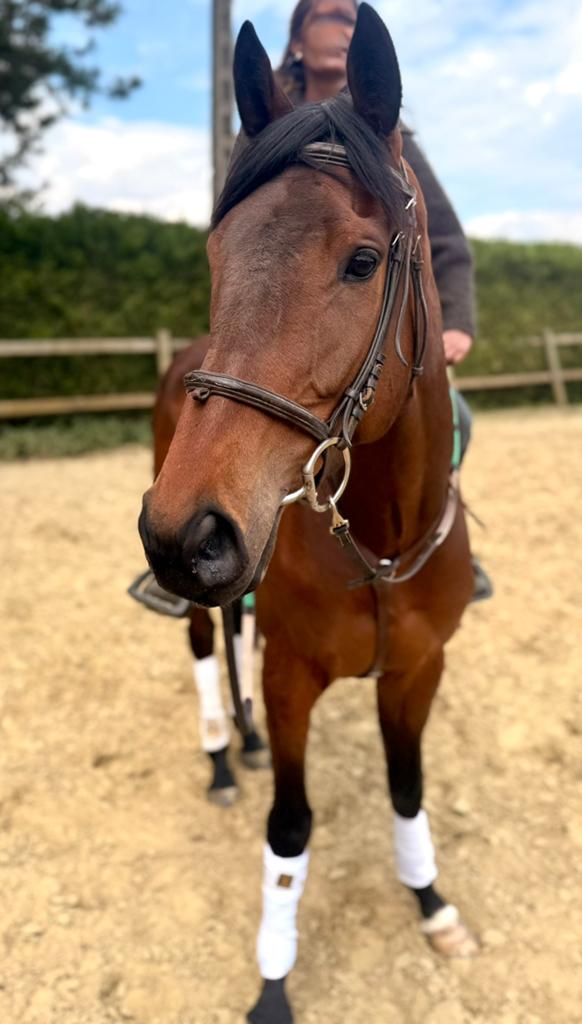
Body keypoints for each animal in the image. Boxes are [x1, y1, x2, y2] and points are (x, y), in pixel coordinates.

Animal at [139, 6, 479, 1021]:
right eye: (217, 255)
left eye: (362, 262)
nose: (185, 532)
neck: (381, 541)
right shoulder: (292, 680)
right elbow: (289, 828)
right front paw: (274, 979)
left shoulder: (418, 672)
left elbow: (407, 787)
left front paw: (431, 902)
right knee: (205, 641)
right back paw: (223, 754)